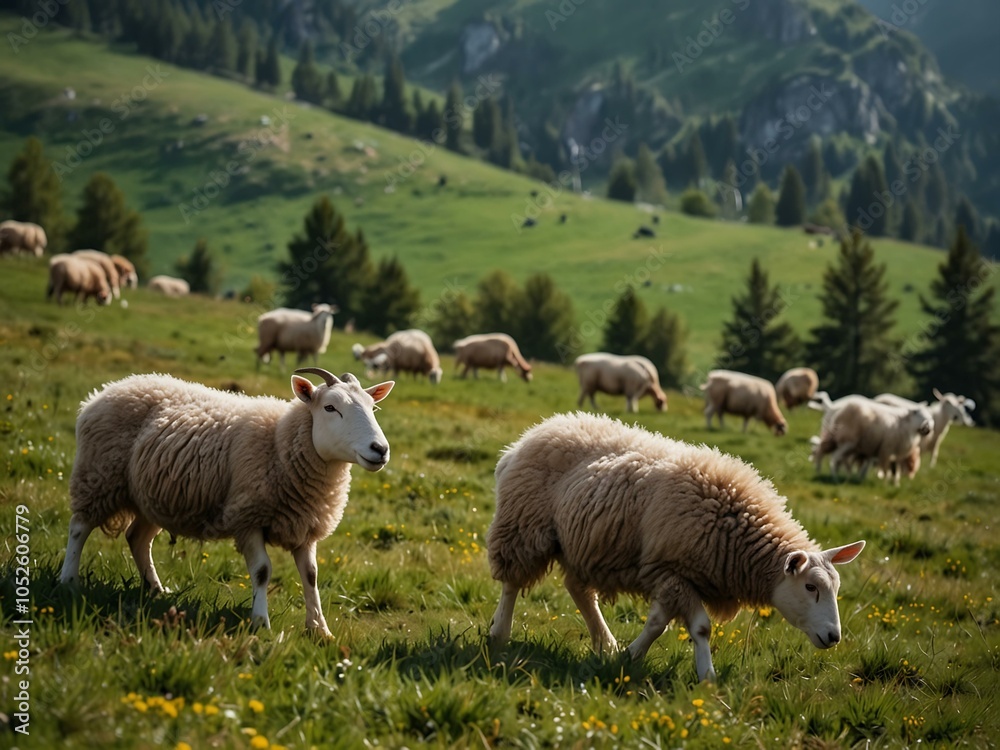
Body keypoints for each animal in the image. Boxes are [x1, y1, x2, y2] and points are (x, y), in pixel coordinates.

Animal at [59, 368, 395, 636]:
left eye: (373, 408)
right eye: (330, 407)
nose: (380, 449)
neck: (280, 441)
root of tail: (104, 391)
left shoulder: (305, 524)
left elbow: (311, 576)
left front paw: (319, 630)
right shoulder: (248, 517)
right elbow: (262, 571)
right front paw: (261, 623)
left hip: (152, 497)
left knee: (137, 539)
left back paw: (156, 589)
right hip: (98, 476)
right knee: (78, 527)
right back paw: (69, 580)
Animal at [487, 412, 865, 681]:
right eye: (810, 587)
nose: (833, 636)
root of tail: (527, 438)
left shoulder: (678, 576)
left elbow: (662, 623)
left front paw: (635, 657)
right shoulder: (671, 570)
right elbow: (697, 628)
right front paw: (701, 674)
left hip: (583, 545)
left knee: (578, 590)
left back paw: (604, 642)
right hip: (523, 526)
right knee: (511, 583)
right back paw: (499, 634)